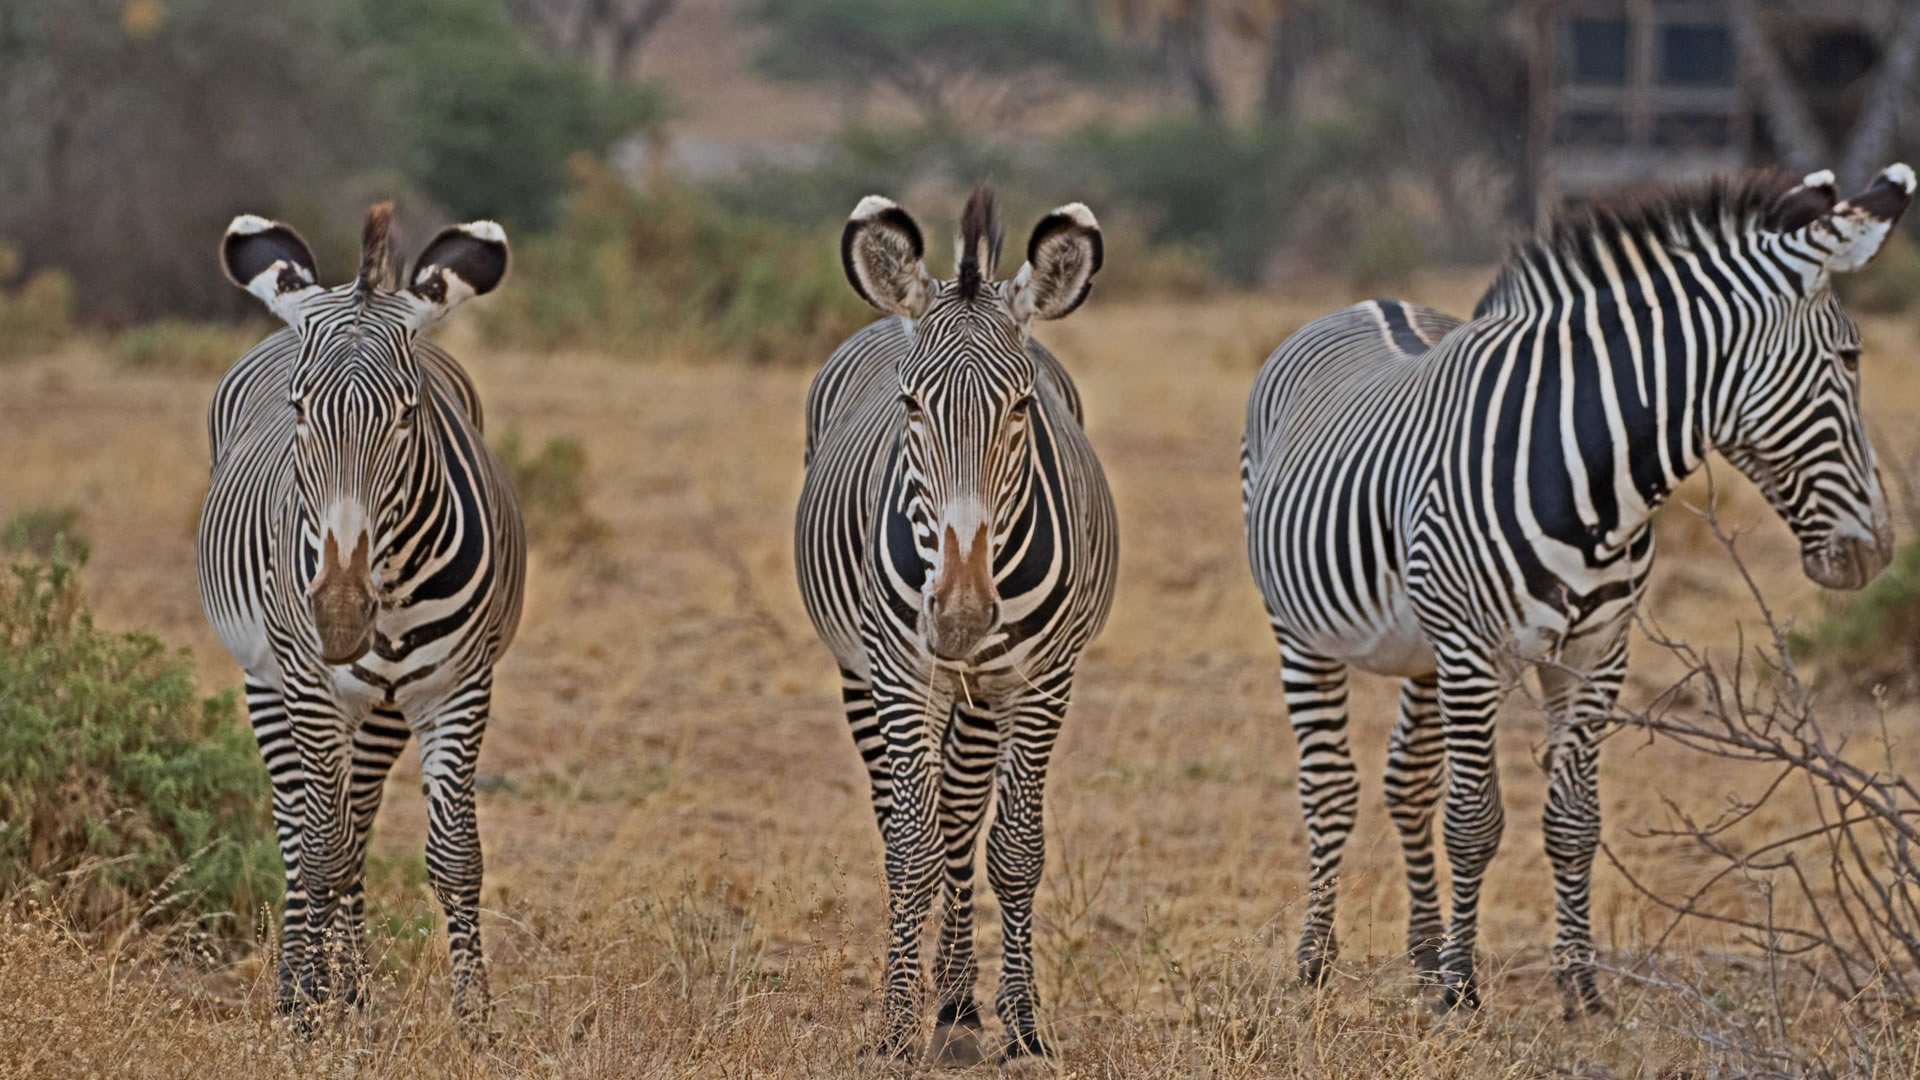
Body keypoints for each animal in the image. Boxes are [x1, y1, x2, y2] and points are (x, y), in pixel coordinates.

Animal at [196, 203, 523, 1033]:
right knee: (298, 824)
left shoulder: (459, 687)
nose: (341, 615)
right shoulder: (310, 687)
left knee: (358, 822)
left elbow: (455, 857)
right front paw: (314, 1014)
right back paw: (301, 986)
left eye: (409, 414)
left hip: (381, 708)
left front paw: (476, 1020)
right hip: (268, 680)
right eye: (300, 409)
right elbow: (319, 851)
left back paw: (355, 985)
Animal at [794, 184, 1117, 1062]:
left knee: (963, 819)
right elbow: (911, 849)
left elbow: (1013, 848)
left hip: (979, 694)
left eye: (1022, 406)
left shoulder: (1042, 681)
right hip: (863, 673)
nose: (965, 613)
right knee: (907, 820)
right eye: (911, 404)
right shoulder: (900, 675)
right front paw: (893, 1028)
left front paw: (1022, 1026)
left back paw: (960, 1007)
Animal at [1241, 165, 1913, 1018]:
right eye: (1851, 358)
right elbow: (1474, 820)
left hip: (1424, 649)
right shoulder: (1474, 652)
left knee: (1408, 782)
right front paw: (1461, 993)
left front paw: (1579, 987)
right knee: (1330, 787)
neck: (1594, 482)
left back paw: (1421, 955)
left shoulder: (1596, 653)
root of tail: (1366, 301)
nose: (1878, 551)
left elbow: (1573, 821)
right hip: (1301, 629)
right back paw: (1316, 960)